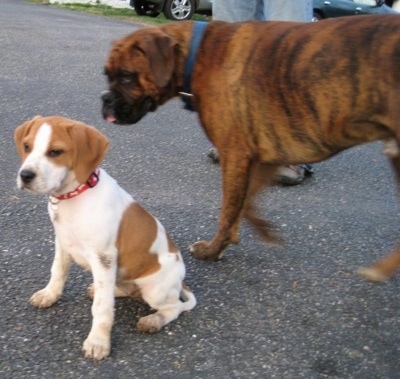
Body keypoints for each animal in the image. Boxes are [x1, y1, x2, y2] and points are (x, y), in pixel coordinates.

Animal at [14, 116, 196, 362]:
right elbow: (58, 272)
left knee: (174, 307)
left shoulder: (103, 258)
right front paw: (49, 295)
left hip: (155, 290)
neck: (75, 194)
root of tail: (180, 281)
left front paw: (98, 342)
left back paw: (154, 320)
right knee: (122, 290)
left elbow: (102, 307)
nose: (25, 175)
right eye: (27, 146)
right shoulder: (62, 243)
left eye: (55, 152)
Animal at [101, 14, 400, 282]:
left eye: (126, 77)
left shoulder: (235, 156)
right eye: (107, 75)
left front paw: (212, 251)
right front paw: (263, 233)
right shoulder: (267, 155)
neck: (196, 55)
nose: (104, 99)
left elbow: (229, 210)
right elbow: (245, 206)